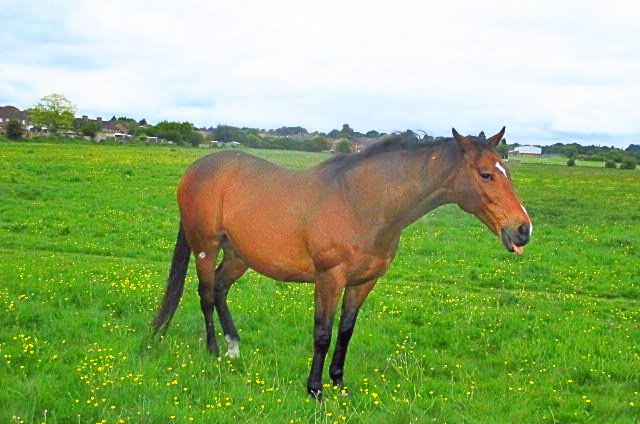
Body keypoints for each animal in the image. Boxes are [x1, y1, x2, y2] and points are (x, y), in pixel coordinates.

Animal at [152, 127, 532, 400]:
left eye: (508, 172)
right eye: (485, 174)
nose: (523, 229)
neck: (360, 202)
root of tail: (196, 169)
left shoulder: (363, 283)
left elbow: (346, 331)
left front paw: (339, 383)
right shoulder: (329, 278)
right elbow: (323, 333)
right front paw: (315, 390)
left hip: (238, 255)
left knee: (219, 289)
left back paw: (234, 346)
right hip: (206, 246)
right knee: (204, 293)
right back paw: (214, 350)